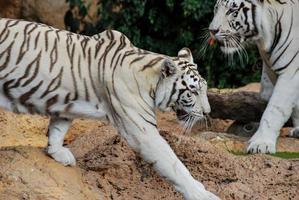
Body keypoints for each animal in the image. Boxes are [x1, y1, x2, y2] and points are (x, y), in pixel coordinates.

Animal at [0, 18, 220, 199]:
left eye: (205, 88)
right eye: (192, 92)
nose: (207, 112)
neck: (151, 81)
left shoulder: (65, 101)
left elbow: (58, 128)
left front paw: (57, 153)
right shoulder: (142, 130)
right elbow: (174, 165)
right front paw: (203, 194)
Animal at [210, 0, 299, 154]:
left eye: (232, 11)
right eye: (216, 8)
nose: (212, 30)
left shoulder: (291, 72)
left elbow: (275, 109)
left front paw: (261, 144)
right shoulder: (273, 71)